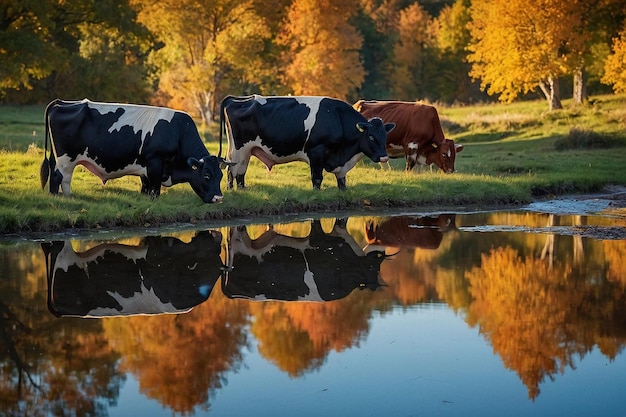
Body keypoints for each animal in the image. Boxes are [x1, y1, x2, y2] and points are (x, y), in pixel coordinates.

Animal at [39, 97, 225, 202]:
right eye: (207, 175)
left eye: (220, 176)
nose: (218, 198)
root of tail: (62, 103)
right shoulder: (155, 162)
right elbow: (155, 190)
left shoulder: (146, 168)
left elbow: (145, 186)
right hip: (66, 159)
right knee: (58, 177)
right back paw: (61, 199)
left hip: (59, 158)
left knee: (58, 176)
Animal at [219, 94, 394, 190]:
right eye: (371, 137)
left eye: (385, 137)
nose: (384, 157)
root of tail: (236, 99)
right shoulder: (316, 151)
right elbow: (317, 178)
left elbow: (342, 182)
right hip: (239, 149)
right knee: (232, 171)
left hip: (245, 151)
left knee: (239, 173)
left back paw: (240, 190)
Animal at [222, 219, 382, 300]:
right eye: (373, 265)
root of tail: (232, 295)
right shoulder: (317, 239)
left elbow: (342, 222)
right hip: (240, 244)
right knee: (234, 234)